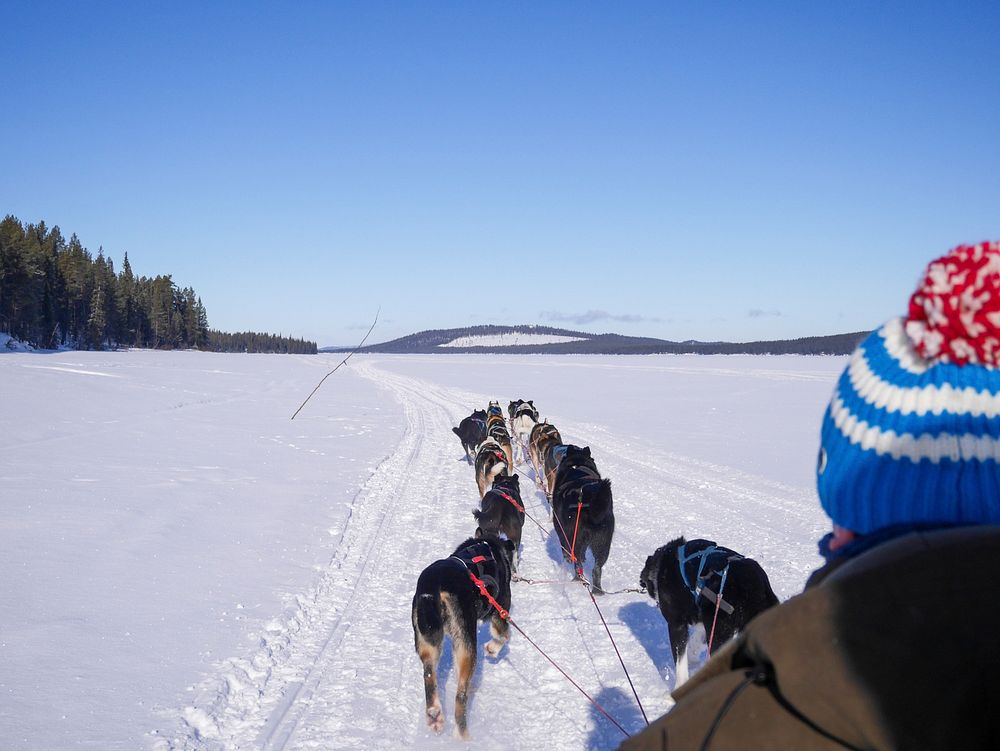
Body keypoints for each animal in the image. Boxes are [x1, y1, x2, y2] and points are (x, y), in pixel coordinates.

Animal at [552, 446, 612, 592]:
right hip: (603, 544)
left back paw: (578, 579)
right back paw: (597, 591)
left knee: (577, 561)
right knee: (597, 568)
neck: (578, 465)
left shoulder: (560, 527)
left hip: (574, 537)